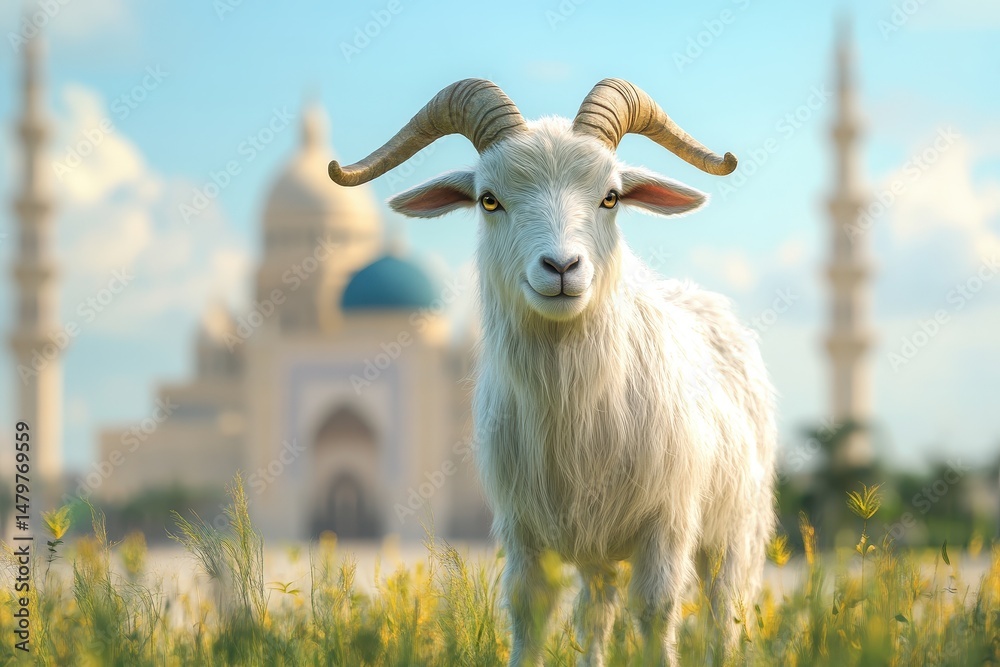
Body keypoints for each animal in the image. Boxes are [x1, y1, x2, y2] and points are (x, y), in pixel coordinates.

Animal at [328, 78, 777, 666]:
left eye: (611, 197)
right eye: (488, 199)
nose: (562, 268)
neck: (575, 405)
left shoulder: (667, 524)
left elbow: (657, 616)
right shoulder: (523, 534)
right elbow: (529, 615)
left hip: (734, 532)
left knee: (726, 617)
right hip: (597, 548)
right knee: (596, 615)